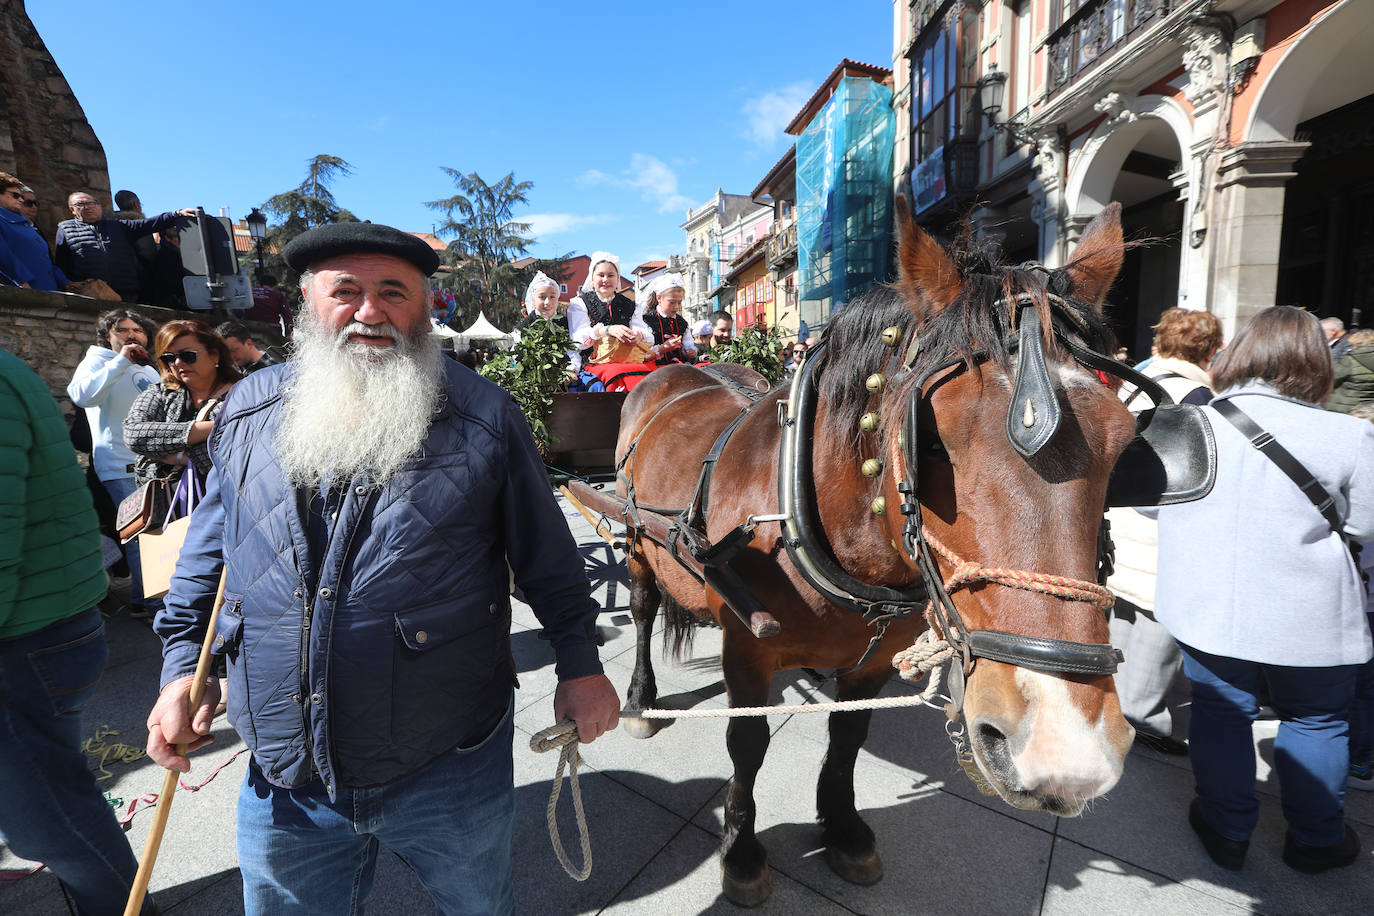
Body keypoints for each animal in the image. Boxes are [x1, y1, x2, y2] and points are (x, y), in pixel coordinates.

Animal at [612, 197, 1137, 906]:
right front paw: (741, 848)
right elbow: (747, 740)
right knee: (643, 609)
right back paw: (639, 699)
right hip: (634, 539)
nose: (1063, 748)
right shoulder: (747, 648)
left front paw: (843, 827)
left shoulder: (875, 659)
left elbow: (849, 734)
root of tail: (678, 369)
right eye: (932, 442)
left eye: (1127, 443)